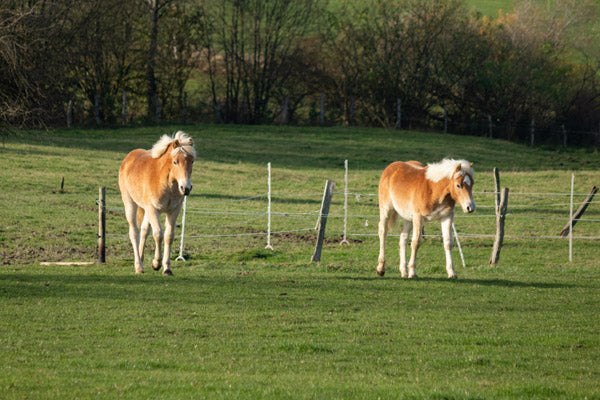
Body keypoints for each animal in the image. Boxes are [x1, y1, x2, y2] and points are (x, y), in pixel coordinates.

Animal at [115, 131, 195, 276]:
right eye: (175, 162)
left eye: (192, 161)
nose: (186, 188)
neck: (166, 182)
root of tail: (128, 158)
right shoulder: (154, 210)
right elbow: (158, 234)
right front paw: (156, 263)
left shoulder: (174, 210)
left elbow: (169, 236)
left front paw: (167, 268)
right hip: (130, 203)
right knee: (134, 232)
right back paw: (138, 267)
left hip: (146, 210)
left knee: (144, 230)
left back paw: (141, 259)